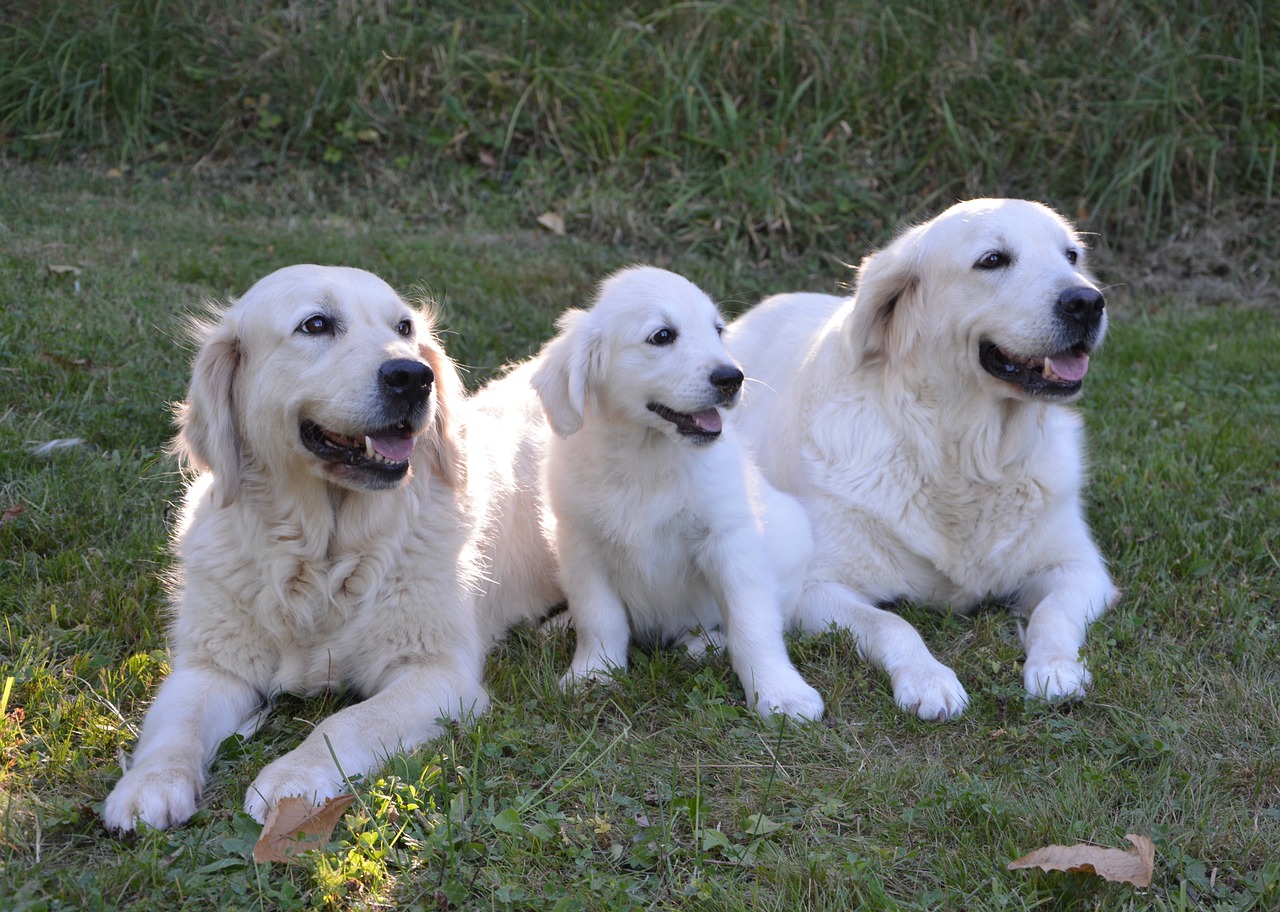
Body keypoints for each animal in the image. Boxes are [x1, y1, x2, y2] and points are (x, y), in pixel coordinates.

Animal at [102, 265, 558, 835]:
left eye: (404, 327)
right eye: (316, 324)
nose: (414, 377)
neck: (322, 556)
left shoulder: (437, 673)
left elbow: (348, 721)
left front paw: (292, 777)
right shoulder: (211, 665)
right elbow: (174, 724)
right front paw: (149, 784)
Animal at [527, 267, 819, 722]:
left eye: (718, 330)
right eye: (662, 336)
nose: (732, 378)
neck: (646, 456)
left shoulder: (730, 541)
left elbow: (753, 622)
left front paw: (780, 693)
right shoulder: (581, 546)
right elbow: (599, 617)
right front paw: (593, 673)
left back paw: (706, 644)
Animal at [732, 199, 1121, 717]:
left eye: (1071, 255)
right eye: (993, 260)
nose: (1087, 302)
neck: (962, 455)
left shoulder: (1080, 567)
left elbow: (1052, 614)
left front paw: (1056, 668)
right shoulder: (811, 587)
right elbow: (892, 624)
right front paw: (929, 679)